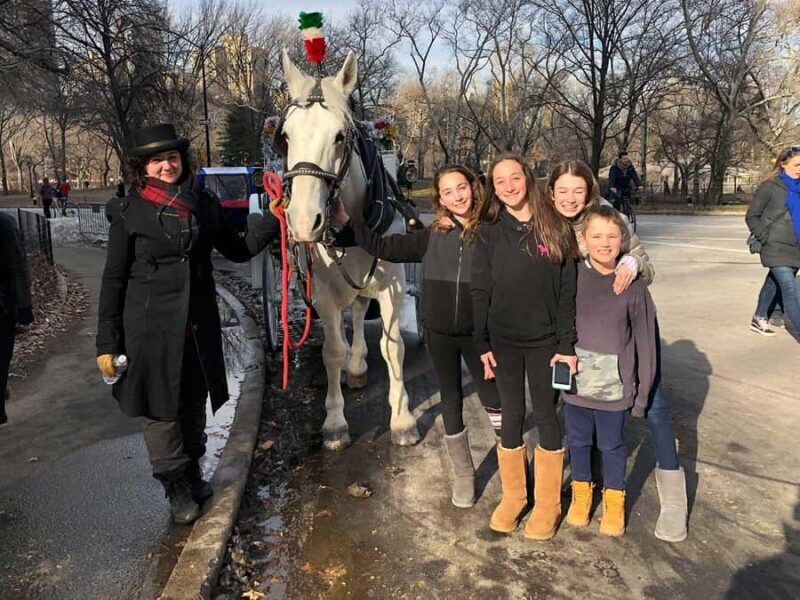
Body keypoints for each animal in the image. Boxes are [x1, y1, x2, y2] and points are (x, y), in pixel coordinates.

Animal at [274, 49, 421, 451]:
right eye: (285, 136)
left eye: (340, 136)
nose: (303, 220)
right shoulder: (322, 293)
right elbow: (332, 350)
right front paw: (335, 422)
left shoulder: (392, 286)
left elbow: (393, 347)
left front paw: (402, 419)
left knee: (357, 310)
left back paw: (357, 365)